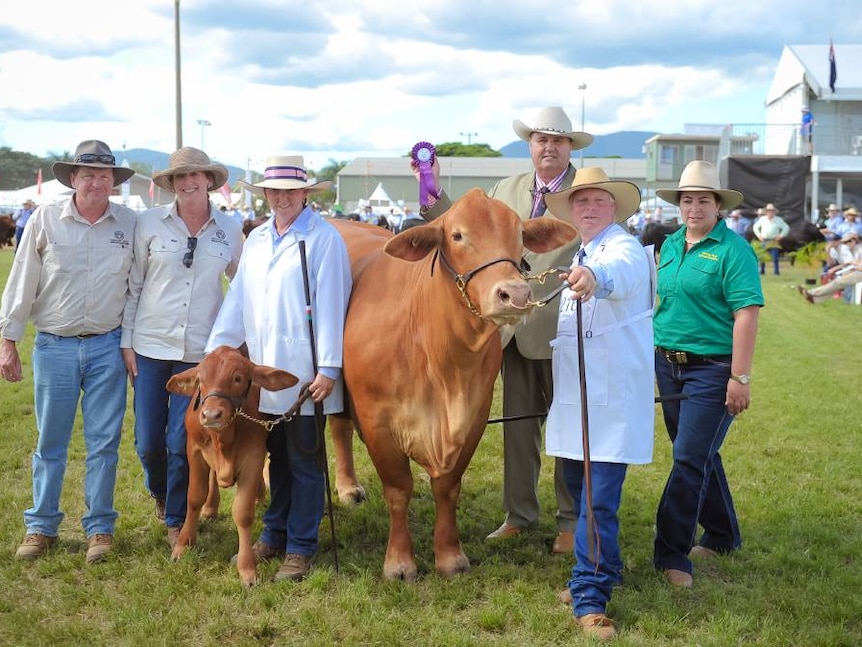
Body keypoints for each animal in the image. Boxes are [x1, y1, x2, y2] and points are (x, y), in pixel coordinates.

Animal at [167, 346, 298, 588]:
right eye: (200, 380)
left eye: (237, 378)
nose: (211, 415)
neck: (223, 439)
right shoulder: (194, 450)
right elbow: (194, 498)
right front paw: (182, 546)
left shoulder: (253, 456)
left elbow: (243, 513)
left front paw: (247, 569)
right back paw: (210, 508)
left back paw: (260, 496)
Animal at [334, 189, 576, 584]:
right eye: (458, 235)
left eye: (520, 235)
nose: (515, 294)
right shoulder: (376, 420)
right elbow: (398, 489)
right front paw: (399, 562)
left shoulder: (475, 417)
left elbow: (447, 488)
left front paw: (449, 556)